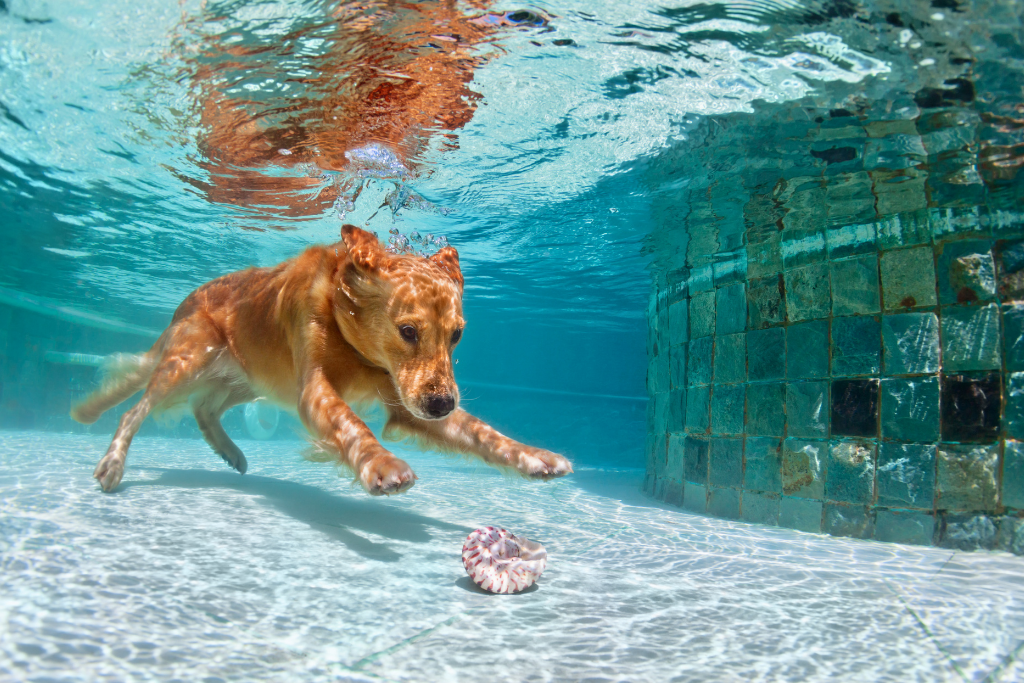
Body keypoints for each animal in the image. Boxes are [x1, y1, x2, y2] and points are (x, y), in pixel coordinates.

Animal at [72, 227, 569, 493]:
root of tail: (183, 303)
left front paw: (534, 456)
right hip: (189, 359)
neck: (350, 337)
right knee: (136, 408)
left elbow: (483, 433)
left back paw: (230, 452)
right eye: (408, 331)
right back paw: (113, 463)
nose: (443, 404)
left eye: (457, 335)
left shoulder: (406, 401)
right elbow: (352, 425)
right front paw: (382, 465)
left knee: (204, 409)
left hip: (248, 380)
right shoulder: (313, 390)